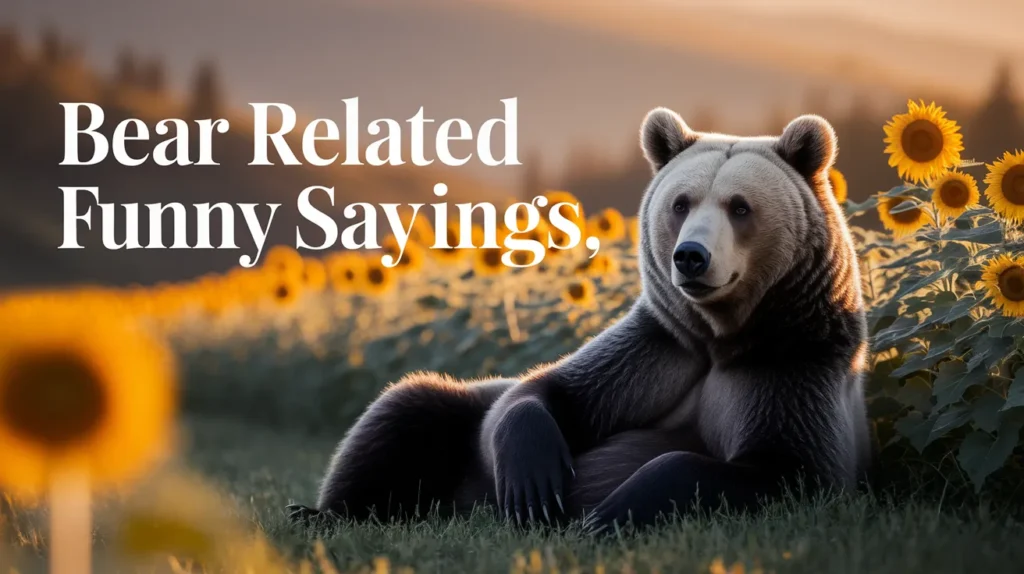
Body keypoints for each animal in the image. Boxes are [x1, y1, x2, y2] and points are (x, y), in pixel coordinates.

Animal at [287, 107, 871, 534]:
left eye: (740, 206)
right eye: (681, 203)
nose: (691, 257)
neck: (720, 336)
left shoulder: (789, 367)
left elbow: (781, 471)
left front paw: (610, 510)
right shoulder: (656, 348)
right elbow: (545, 394)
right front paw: (536, 484)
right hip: (459, 436)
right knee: (405, 410)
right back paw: (320, 513)